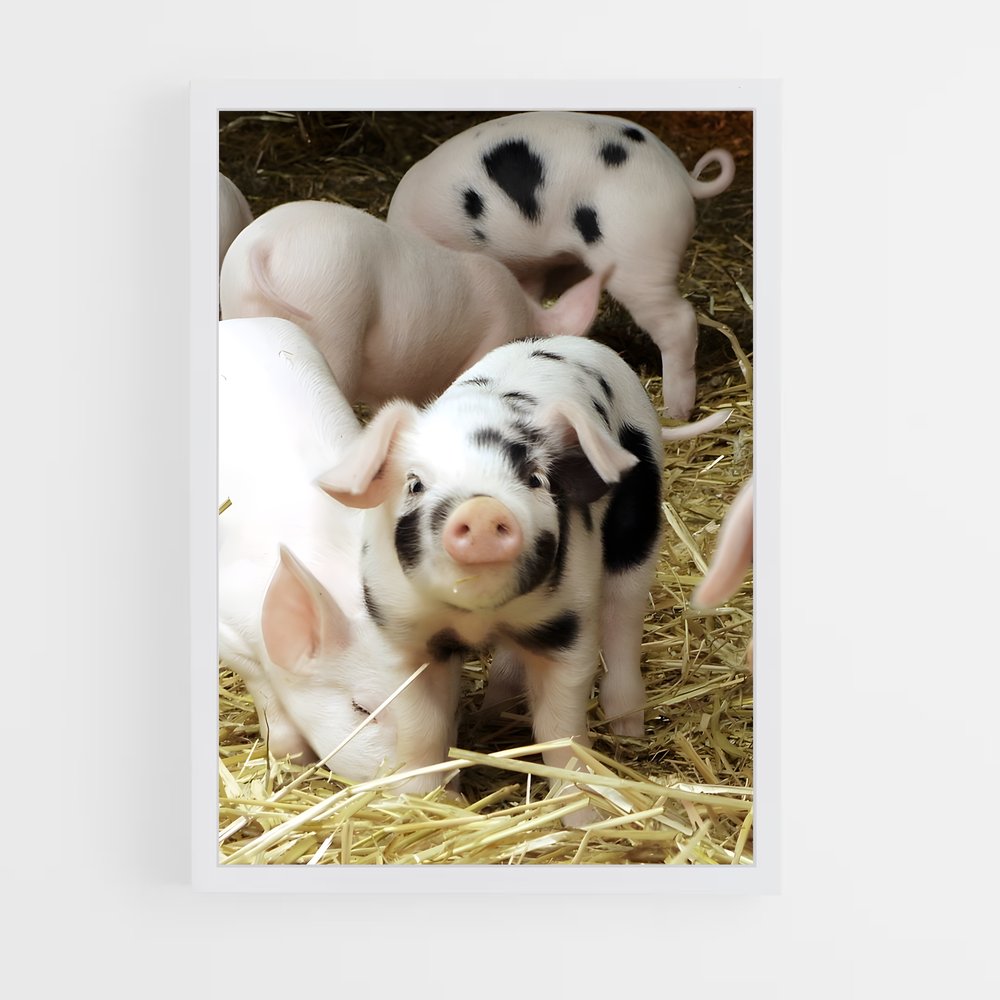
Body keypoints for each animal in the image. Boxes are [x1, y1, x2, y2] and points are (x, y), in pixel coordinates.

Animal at [318, 335, 730, 824]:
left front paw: (582, 817)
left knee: (623, 619)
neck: (480, 616)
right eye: (414, 483)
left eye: (535, 479)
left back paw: (628, 728)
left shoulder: (568, 626)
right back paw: (495, 711)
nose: (481, 509)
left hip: (638, 527)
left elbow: (561, 728)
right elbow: (422, 729)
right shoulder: (402, 632)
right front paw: (423, 804)